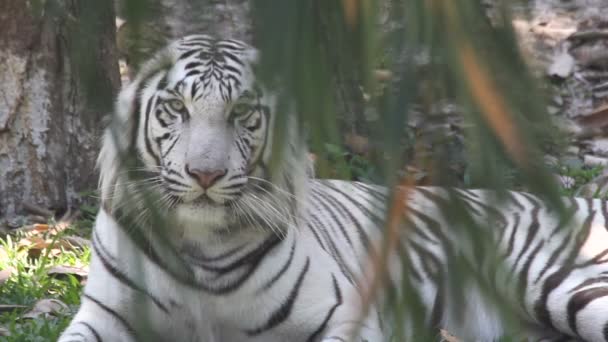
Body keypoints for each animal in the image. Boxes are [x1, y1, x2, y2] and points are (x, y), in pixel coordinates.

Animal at [59, 35, 608, 342]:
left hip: (564, 280)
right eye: (177, 107)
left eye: (242, 113)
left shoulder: (342, 314)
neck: (199, 245)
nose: (205, 174)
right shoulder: (103, 318)